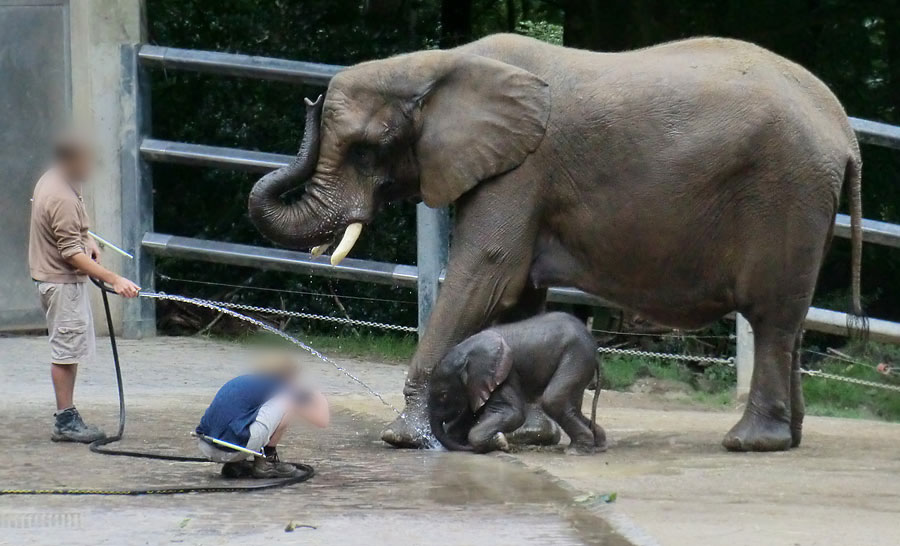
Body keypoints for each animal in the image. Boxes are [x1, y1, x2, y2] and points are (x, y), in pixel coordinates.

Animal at [428, 312, 604, 452]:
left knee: (554, 400)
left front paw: (500, 441)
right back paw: (599, 444)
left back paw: (576, 450)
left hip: (576, 357)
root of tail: (596, 350)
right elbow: (471, 413)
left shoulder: (503, 373)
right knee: (573, 406)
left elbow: (512, 413)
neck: (467, 351)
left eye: (443, 395)